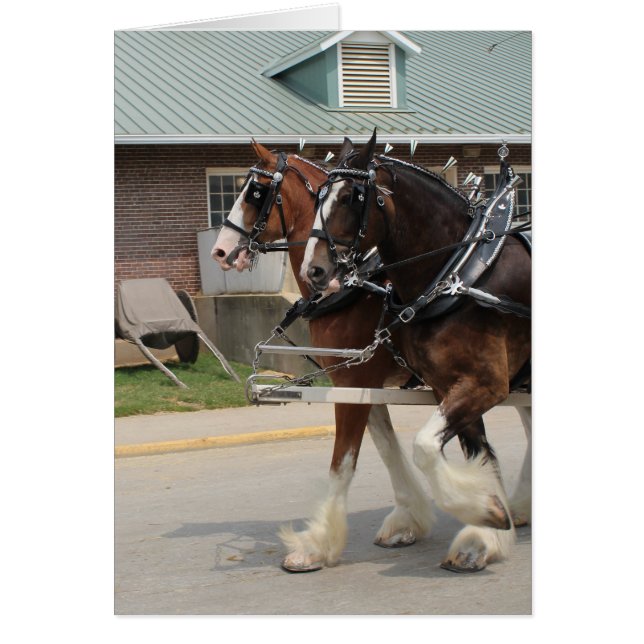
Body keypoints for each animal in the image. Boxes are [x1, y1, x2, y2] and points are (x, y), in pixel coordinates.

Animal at [301, 131, 532, 571]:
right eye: (319, 195)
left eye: (353, 196)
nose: (313, 270)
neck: (458, 271)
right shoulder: (446, 385)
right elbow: (478, 454)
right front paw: (486, 525)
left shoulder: (486, 384)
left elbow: (424, 448)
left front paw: (485, 519)